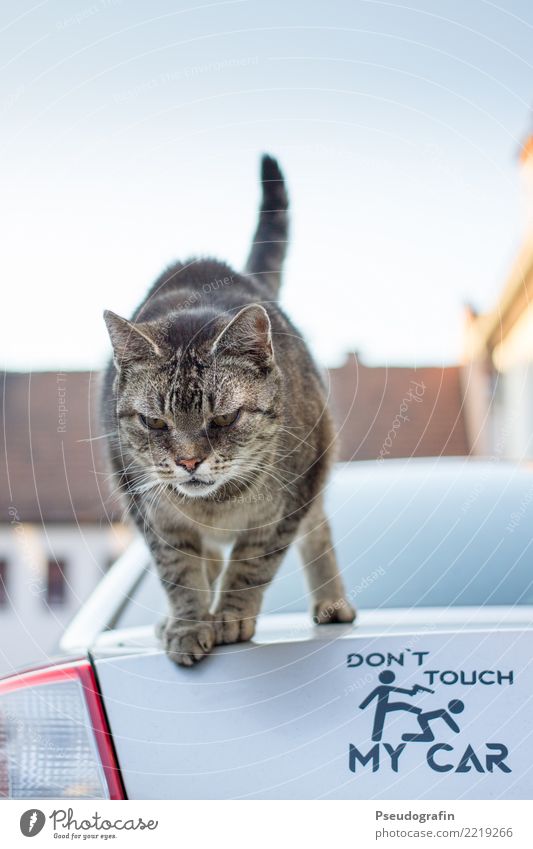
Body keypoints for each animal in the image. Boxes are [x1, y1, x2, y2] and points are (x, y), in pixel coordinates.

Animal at [102, 156, 356, 664]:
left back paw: (331, 603)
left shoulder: (290, 501)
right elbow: (180, 571)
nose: (188, 462)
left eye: (223, 419)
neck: (216, 506)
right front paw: (188, 624)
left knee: (316, 532)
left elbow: (251, 562)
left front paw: (232, 616)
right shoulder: (151, 512)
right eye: (154, 422)